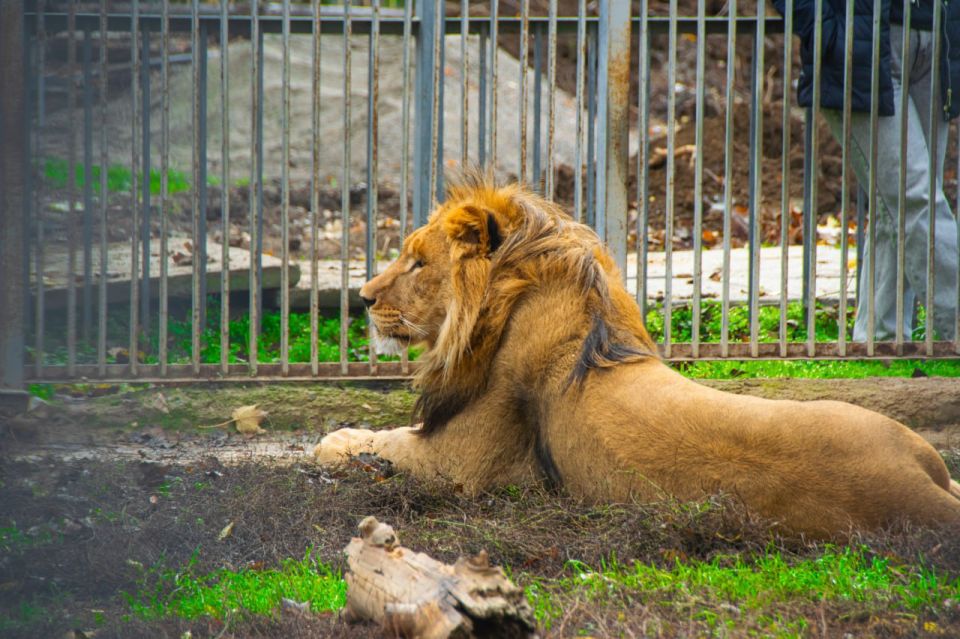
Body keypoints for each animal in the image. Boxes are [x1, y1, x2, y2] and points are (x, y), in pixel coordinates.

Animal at [313, 175, 960, 538]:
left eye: (418, 262)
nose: (362, 298)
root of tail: (919, 485)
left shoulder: (463, 463)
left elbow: (377, 439)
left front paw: (329, 440)